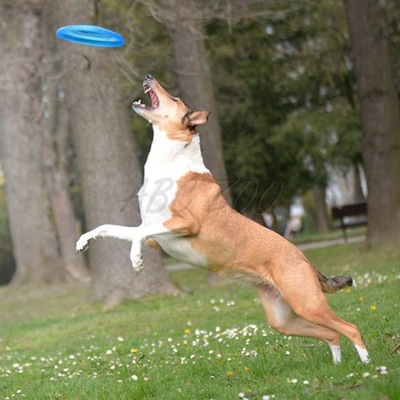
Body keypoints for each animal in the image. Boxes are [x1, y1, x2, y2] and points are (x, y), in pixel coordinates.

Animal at [76, 73, 370, 364]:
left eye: (175, 99)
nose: (148, 75)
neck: (171, 162)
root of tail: (304, 258)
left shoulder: (185, 223)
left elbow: (136, 235)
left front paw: (135, 261)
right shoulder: (154, 236)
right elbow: (112, 227)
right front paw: (83, 241)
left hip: (307, 302)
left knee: (350, 327)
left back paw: (367, 364)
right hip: (283, 318)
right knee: (330, 334)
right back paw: (337, 366)